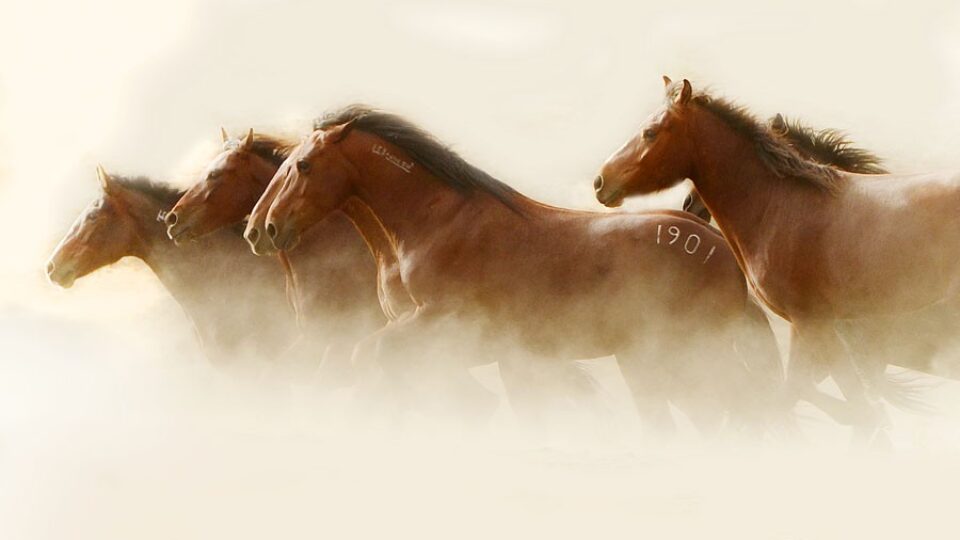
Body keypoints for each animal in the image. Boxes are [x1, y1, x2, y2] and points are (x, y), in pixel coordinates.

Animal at [250, 105, 787, 435]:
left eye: (304, 165)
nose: (266, 229)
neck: (430, 223)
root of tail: (725, 255)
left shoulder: (440, 323)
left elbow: (371, 358)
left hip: (684, 357)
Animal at [595, 77, 960, 440]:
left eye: (651, 132)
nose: (601, 182)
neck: (781, 205)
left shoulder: (816, 327)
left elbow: (791, 398)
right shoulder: (818, 331)